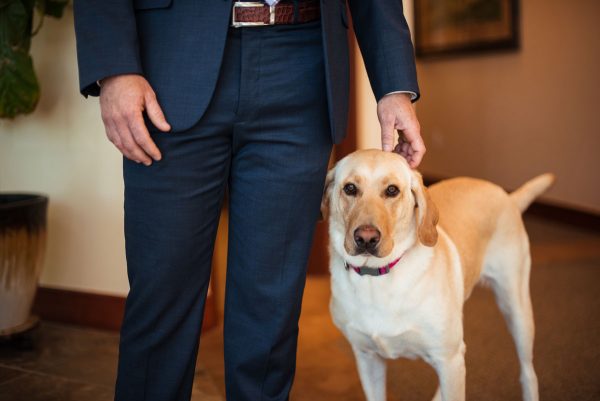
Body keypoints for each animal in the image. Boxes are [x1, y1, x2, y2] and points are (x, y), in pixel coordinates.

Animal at [322, 149, 556, 400]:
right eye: (350, 188)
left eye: (392, 190)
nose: (366, 238)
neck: (377, 277)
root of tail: (507, 196)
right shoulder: (367, 357)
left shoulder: (449, 360)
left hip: (516, 309)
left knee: (528, 372)